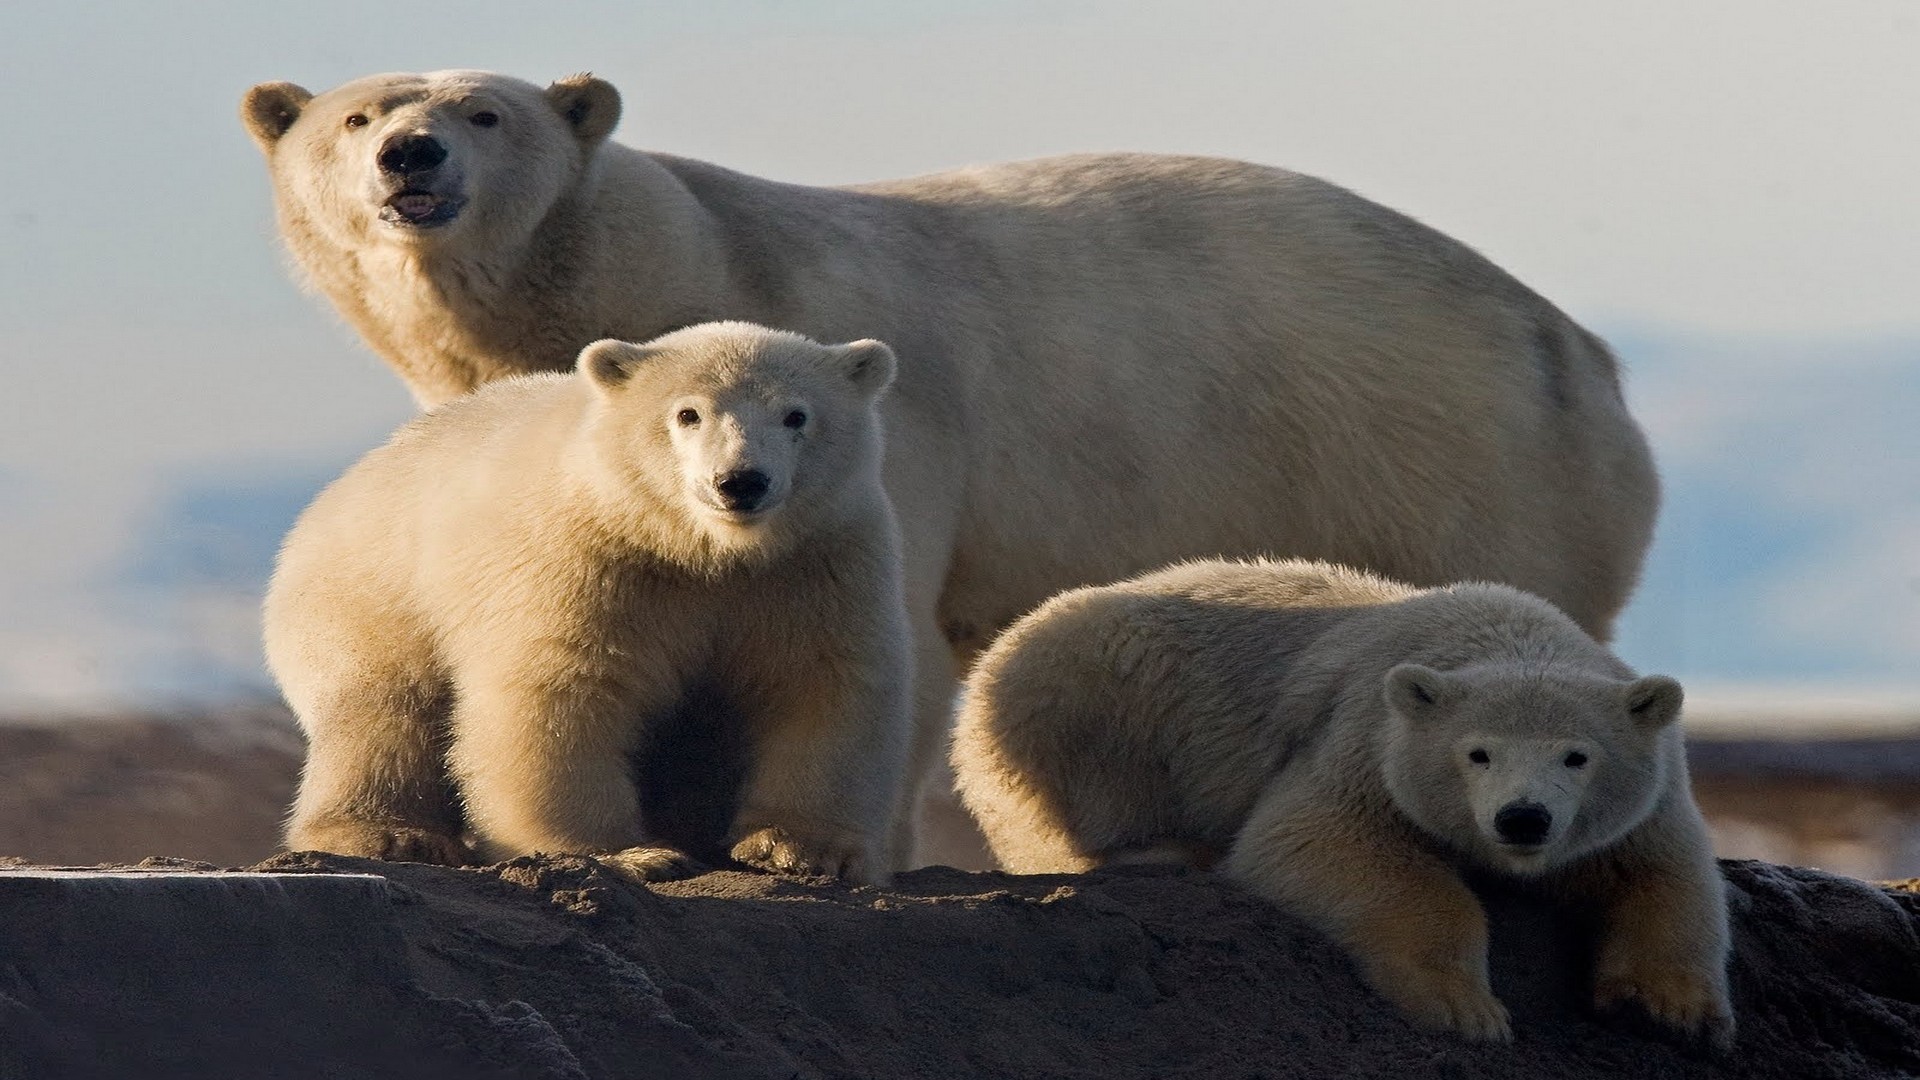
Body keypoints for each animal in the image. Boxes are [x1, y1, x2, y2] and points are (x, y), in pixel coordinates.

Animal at [236, 69, 1651, 864]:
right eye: (355, 114)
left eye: (486, 109)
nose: (410, 155)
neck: (689, 262)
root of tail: (1585, 353)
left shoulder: (878, 414)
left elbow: (885, 640)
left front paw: (830, 850)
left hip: (1450, 457)